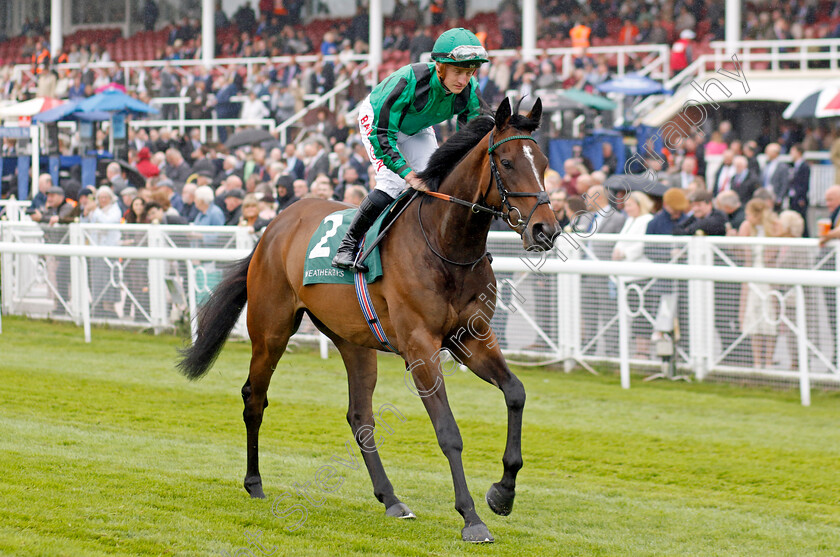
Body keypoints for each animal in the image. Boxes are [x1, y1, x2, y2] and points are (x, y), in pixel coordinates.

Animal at [177, 97, 556, 540]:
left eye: (544, 162)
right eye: (508, 162)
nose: (546, 229)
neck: (446, 243)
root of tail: (274, 226)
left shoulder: (471, 338)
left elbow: (516, 393)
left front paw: (503, 493)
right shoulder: (421, 348)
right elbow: (448, 431)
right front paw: (471, 517)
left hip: (353, 341)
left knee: (360, 417)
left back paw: (391, 499)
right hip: (271, 330)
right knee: (255, 398)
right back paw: (254, 483)